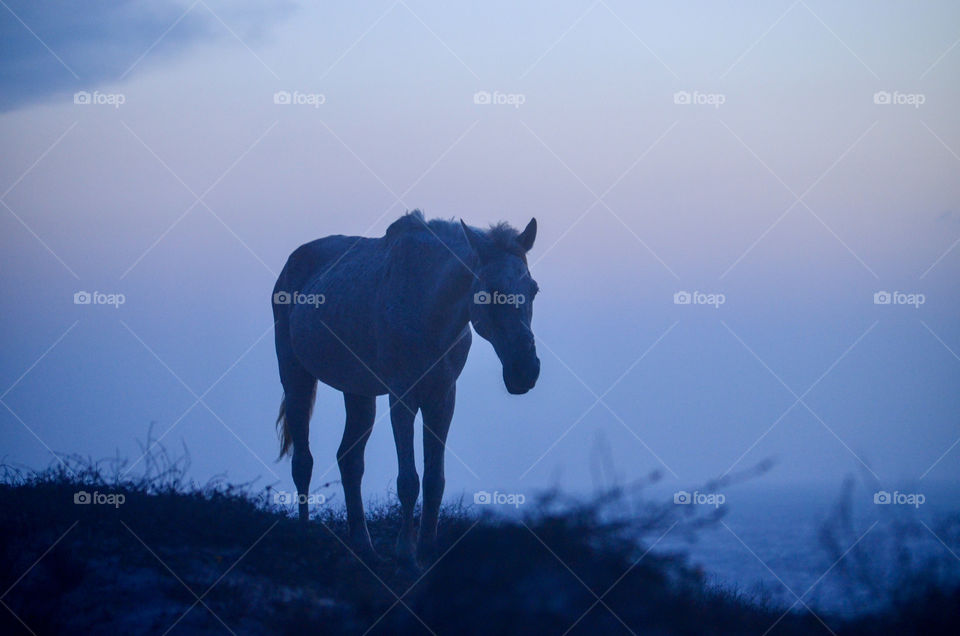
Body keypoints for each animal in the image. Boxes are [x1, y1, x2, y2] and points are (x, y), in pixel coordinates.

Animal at [272, 210, 540, 564]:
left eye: (533, 289)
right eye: (491, 292)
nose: (525, 371)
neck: (429, 311)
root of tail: (291, 263)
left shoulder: (442, 397)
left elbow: (434, 479)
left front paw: (427, 549)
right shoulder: (402, 395)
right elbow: (409, 480)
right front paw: (406, 553)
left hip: (358, 392)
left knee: (349, 460)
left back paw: (363, 545)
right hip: (296, 375)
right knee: (303, 461)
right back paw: (304, 534)